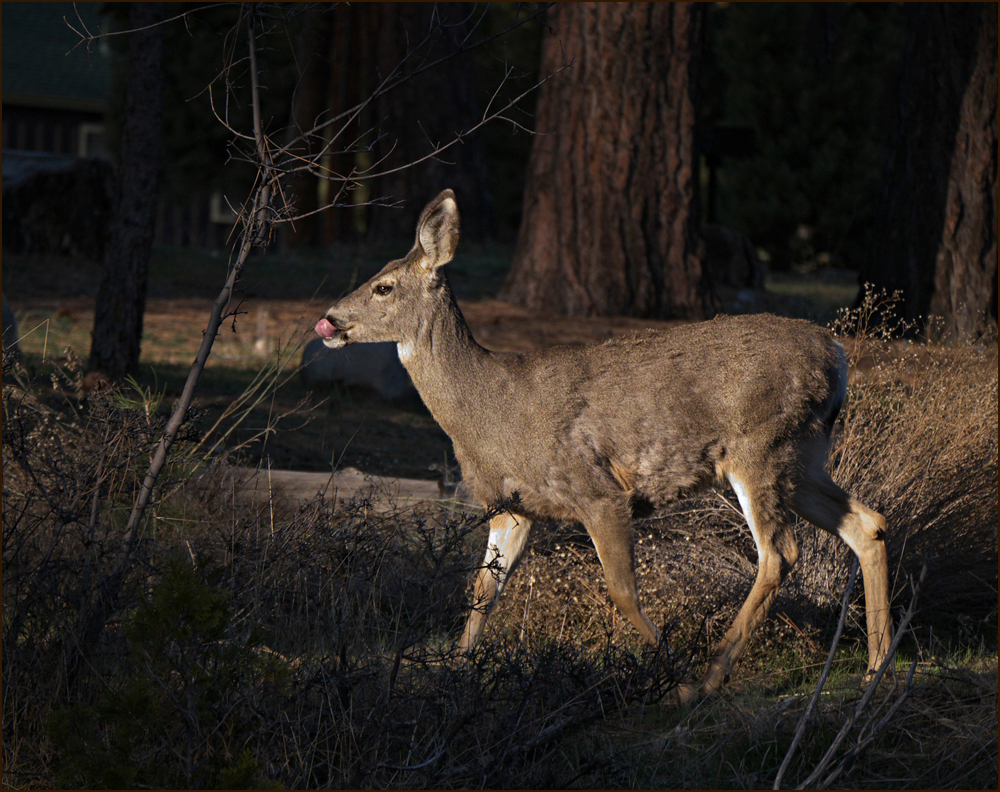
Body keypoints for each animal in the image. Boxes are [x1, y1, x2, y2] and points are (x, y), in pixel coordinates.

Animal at [316, 192, 896, 700]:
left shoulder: (597, 490)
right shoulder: (511, 507)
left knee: (780, 552)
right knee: (867, 523)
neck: (490, 412)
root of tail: (839, 356)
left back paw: (709, 682)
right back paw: (875, 669)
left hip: (760, 449)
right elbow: (482, 592)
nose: (330, 319)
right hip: (802, 457)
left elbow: (620, 590)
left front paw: (675, 678)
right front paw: (455, 676)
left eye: (384, 286)